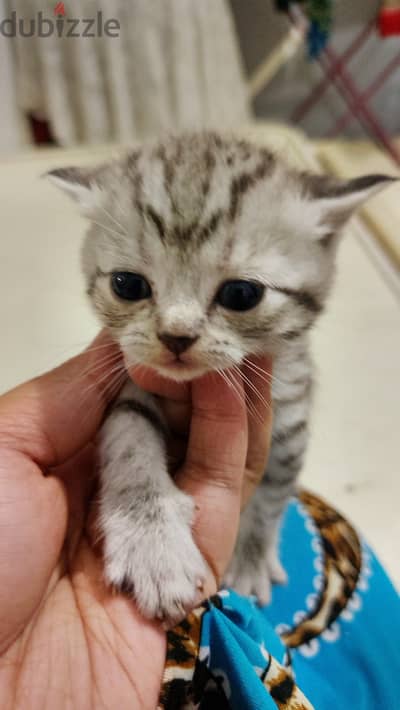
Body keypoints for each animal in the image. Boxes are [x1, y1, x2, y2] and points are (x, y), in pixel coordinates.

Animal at [47, 134, 394, 628]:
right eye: (128, 285)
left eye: (242, 294)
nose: (176, 336)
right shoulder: (131, 384)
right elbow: (129, 439)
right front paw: (153, 545)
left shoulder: (290, 416)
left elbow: (271, 494)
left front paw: (249, 558)